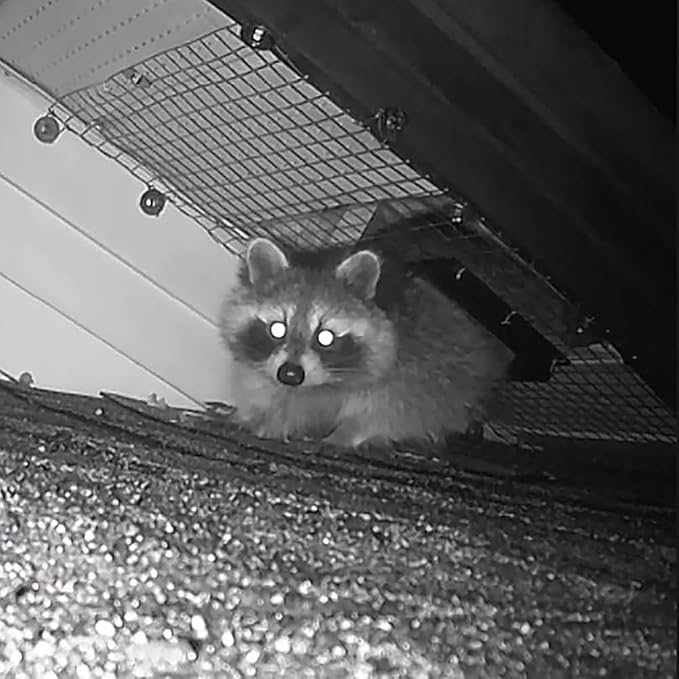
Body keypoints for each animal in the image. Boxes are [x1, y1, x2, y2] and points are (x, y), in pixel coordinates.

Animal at [219, 236, 512, 448]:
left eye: (325, 336)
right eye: (278, 328)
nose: (290, 374)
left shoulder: (411, 359)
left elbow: (393, 406)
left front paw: (349, 432)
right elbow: (268, 390)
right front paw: (261, 416)